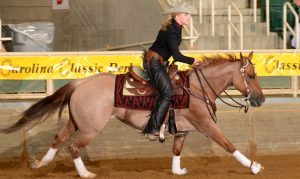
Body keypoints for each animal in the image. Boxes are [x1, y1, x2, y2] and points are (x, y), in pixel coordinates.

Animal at [0, 51, 264, 178]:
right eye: (251, 75)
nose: (260, 99)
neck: (196, 89)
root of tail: (80, 83)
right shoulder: (206, 124)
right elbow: (228, 144)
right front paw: (254, 167)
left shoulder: (182, 130)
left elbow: (176, 151)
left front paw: (177, 171)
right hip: (90, 128)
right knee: (73, 147)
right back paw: (85, 174)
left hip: (76, 122)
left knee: (58, 139)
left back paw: (40, 164)